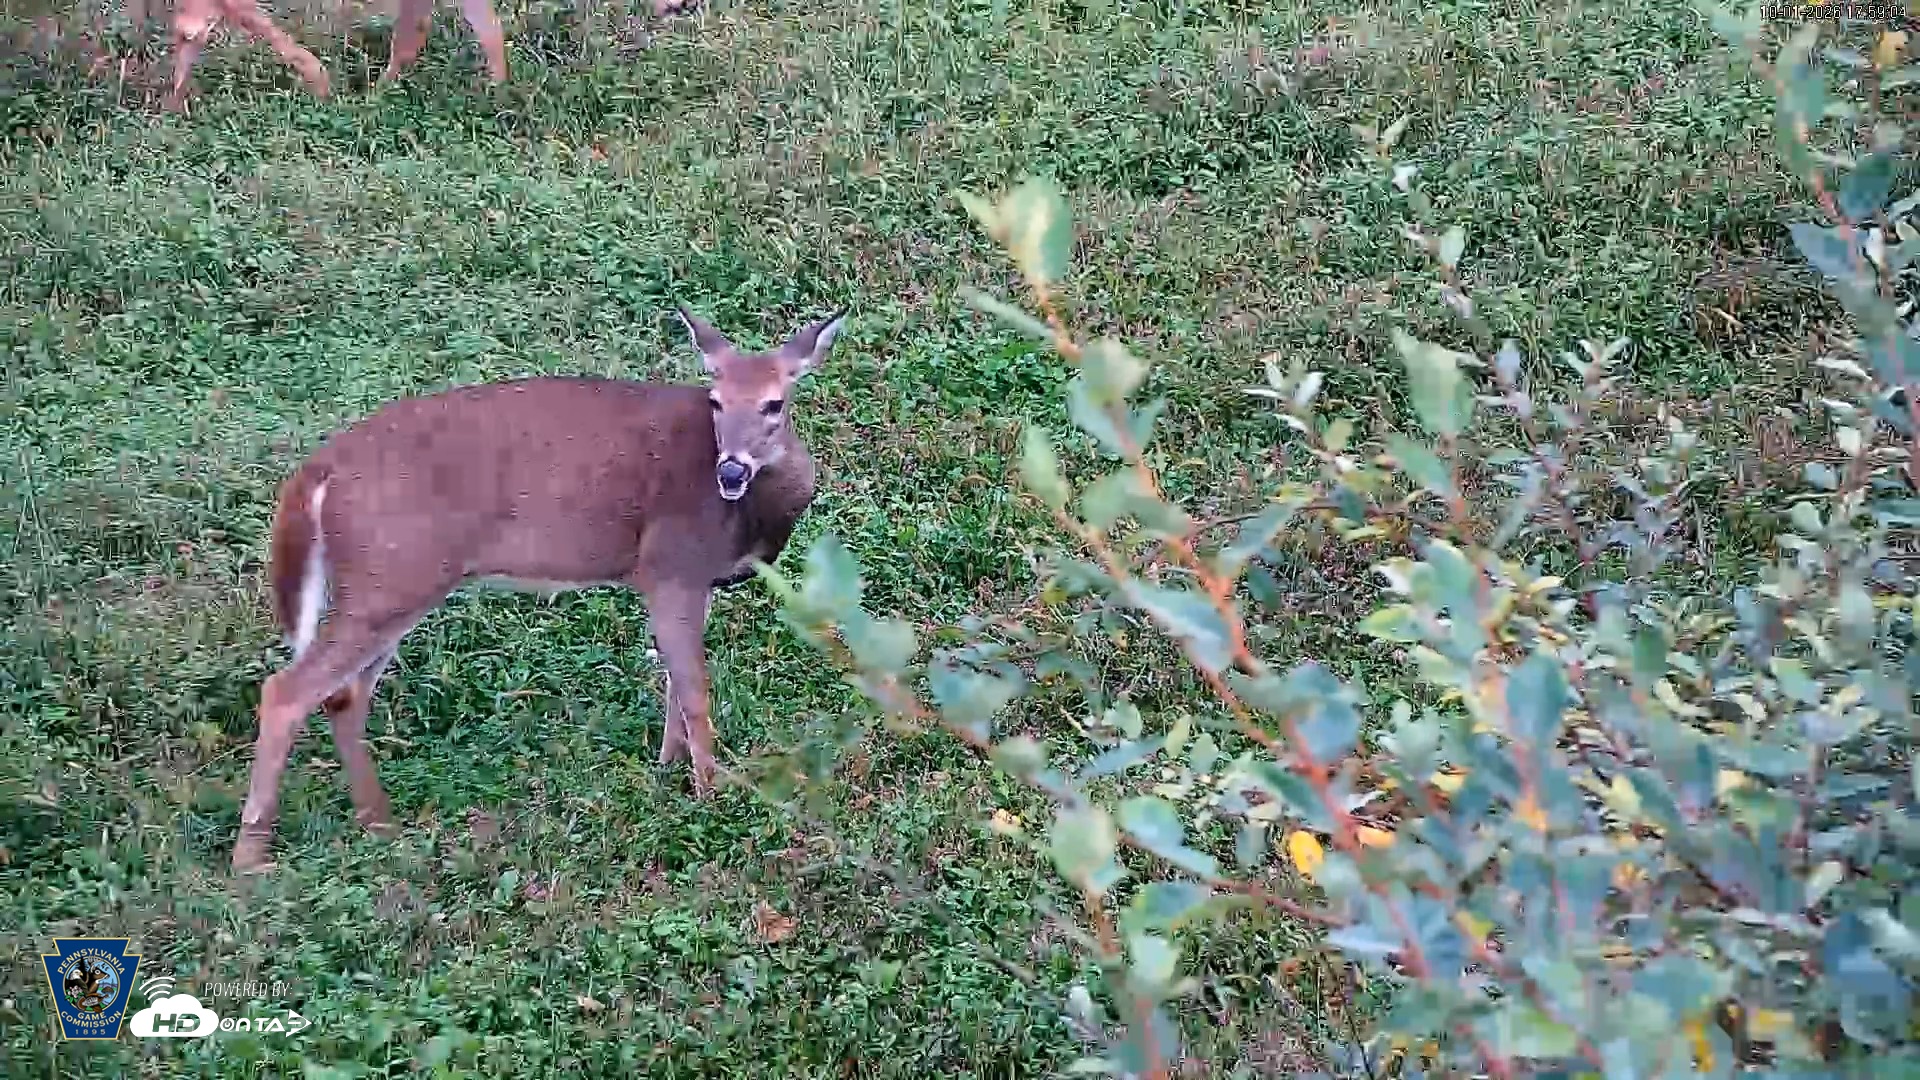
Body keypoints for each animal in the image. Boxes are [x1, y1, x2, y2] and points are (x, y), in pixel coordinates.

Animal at [229, 305, 847, 874]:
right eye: (716, 400)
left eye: (775, 403)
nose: (731, 471)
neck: (746, 516)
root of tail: (318, 470)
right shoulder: (671, 565)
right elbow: (695, 690)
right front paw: (707, 796)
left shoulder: (690, 580)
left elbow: (674, 682)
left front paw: (667, 773)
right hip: (391, 577)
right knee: (287, 691)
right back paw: (251, 860)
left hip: (388, 586)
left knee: (344, 696)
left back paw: (380, 824)